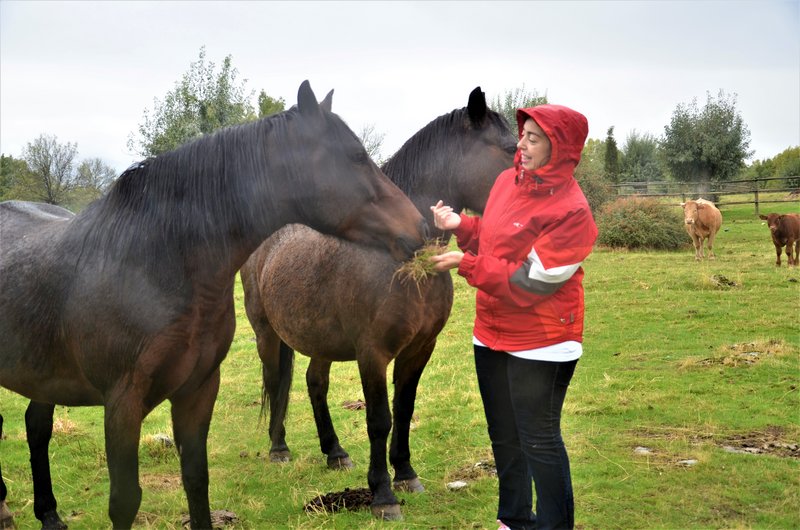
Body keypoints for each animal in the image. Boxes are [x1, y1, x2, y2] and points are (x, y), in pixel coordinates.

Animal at [0, 79, 428, 528]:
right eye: (356, 157)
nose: (420, 227)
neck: (154, 263)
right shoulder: (122, 403)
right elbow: (125, 500)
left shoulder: (199, 388)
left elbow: (196, 479)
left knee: (35, 426)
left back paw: (49, 515)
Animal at [238, 85, 516, 516]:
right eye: (509, 148)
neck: (399, 257)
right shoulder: (373, 353)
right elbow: (379, 419)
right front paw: (383, 495)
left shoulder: (419, 348)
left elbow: (404, 409)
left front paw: (406, 474)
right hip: (267, 334)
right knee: (275, 380)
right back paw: (279, 448)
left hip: (320, 340)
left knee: (315, 383)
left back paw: (335, 452)